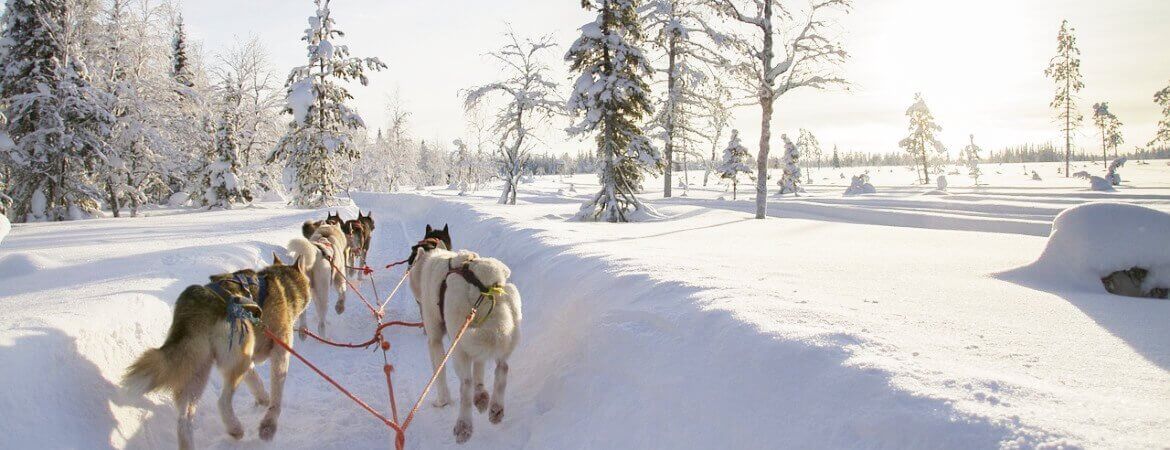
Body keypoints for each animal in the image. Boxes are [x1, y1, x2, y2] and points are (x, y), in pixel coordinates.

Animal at [122, 254, 311, 446]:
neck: (283, 285)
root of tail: (200, 306)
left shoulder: (248, 360)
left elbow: (256, 381)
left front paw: (263, 399)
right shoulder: (280, 351)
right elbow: (276, 393)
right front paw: (269, 424)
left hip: (199, 372)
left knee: (184, 419)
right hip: (236, 361)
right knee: (222, 402)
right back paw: (235, 428)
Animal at [411, 222, 521, 439]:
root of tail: (488, 285)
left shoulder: (435, 340)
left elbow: (440, 373)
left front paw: (442, 401)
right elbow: (479, 367)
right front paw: (481, 396)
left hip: (458, 344)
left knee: (466, 384)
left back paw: (464, 425)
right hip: (502, 333)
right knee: (502, 368)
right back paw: (495, 407)